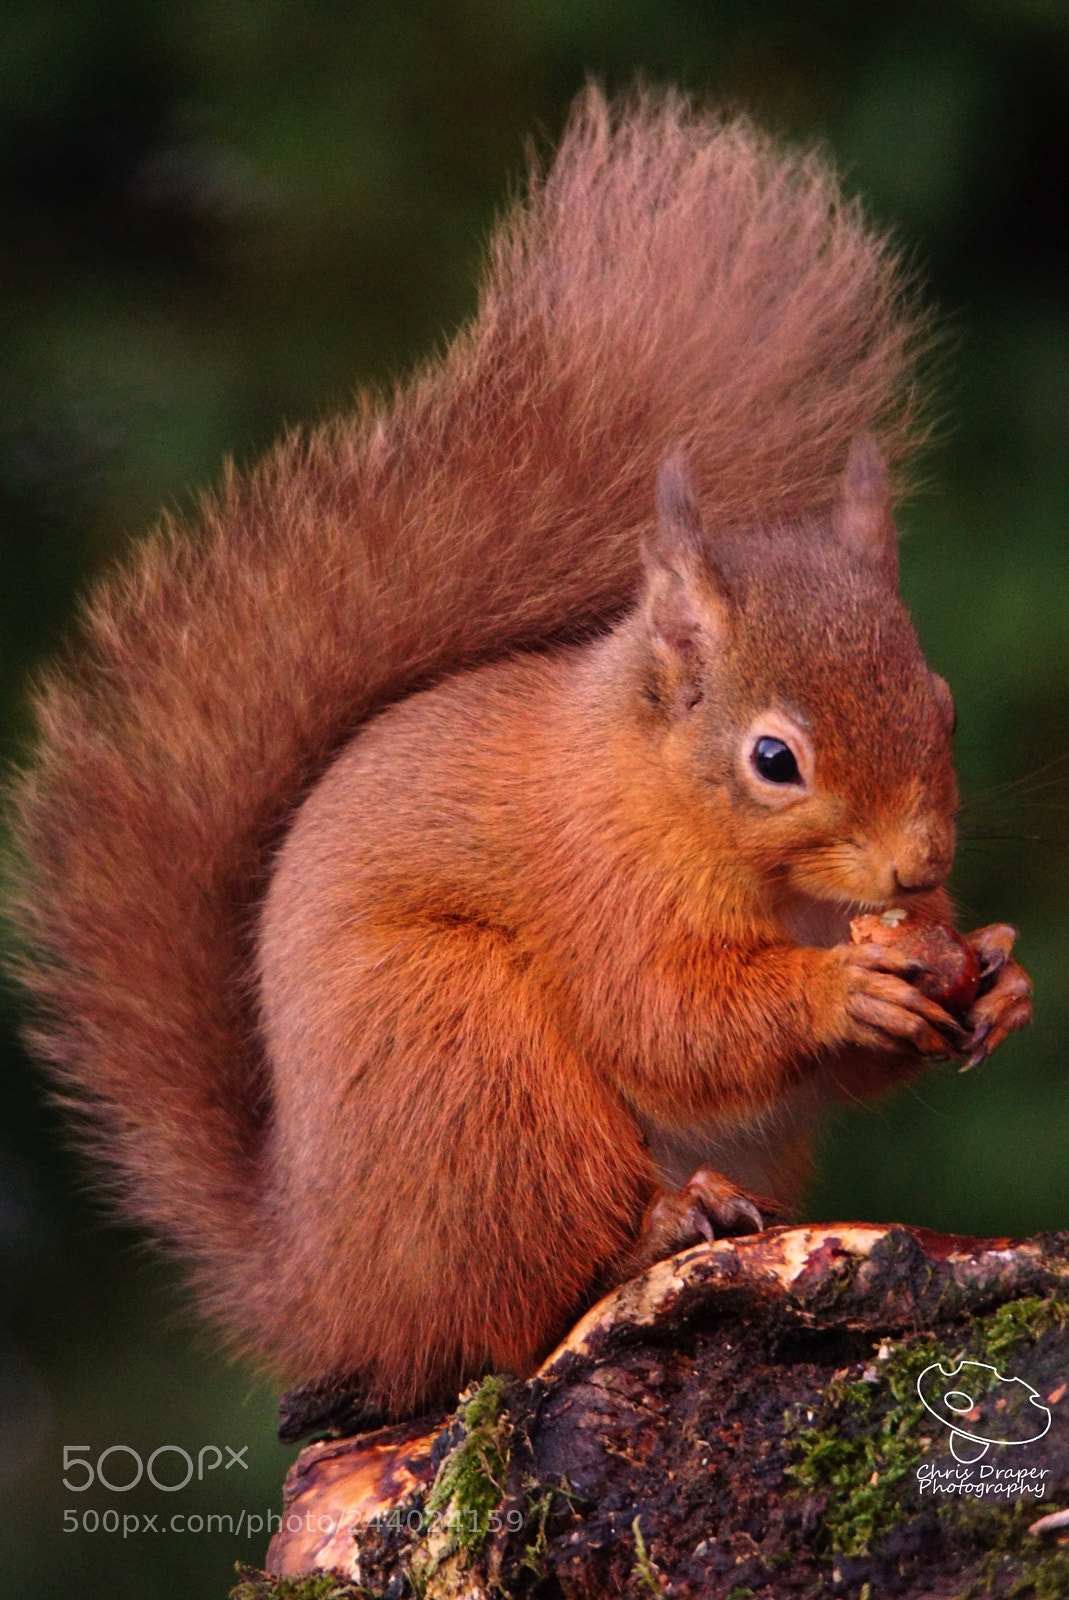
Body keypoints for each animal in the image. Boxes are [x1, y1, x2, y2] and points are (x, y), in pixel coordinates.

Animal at [9, 87, 1033, 1432]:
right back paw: (657, 1225)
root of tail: (326, 1287)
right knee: (517, 1296)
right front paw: (842, 988)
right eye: (774, 758)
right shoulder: (596, 878)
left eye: (944, 704)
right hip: (465, 1064)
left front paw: (999, 973)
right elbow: (664, 1016)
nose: (919, 868)